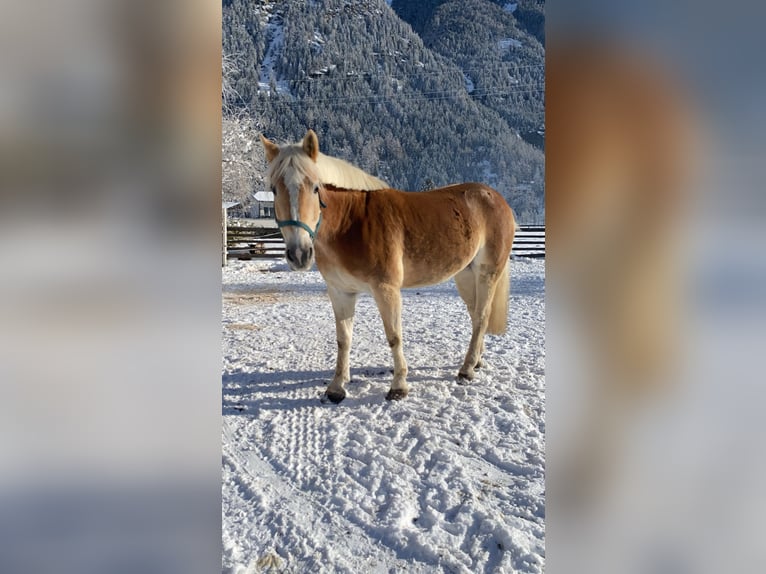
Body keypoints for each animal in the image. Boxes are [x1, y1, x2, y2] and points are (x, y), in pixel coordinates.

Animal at [260, 130, 520, 402]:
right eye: (274, 190)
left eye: (315, 187)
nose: (299, 254)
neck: (351, 222)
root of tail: (497, 199)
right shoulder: (340, 292)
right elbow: (344, 339)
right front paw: (337, 387)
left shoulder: (386, 289)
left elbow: (394, 336)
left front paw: (398, 386)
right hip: (465, 275)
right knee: (475, 314)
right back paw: (476, 361)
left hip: (487, 272)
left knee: (481, 315)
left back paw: (467, 369)